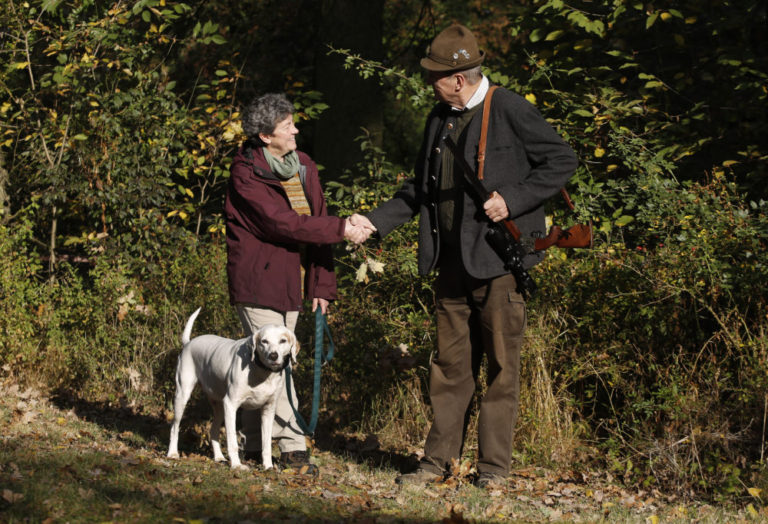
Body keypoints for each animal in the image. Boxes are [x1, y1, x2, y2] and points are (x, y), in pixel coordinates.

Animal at [166, 308, 298, 470]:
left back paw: (218, 457)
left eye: (283, 341)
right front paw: (236, 465)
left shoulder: (268, 410)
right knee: (174, 427)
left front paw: (268, 466)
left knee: (213, 430)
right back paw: (172, 453)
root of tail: (188, 343)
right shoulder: (231, 405)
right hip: (182, 396)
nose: (273, 356)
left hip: (219, 406)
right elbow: (233, 443)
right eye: (264, 341)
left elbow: (266, 444)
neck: (261, 371)